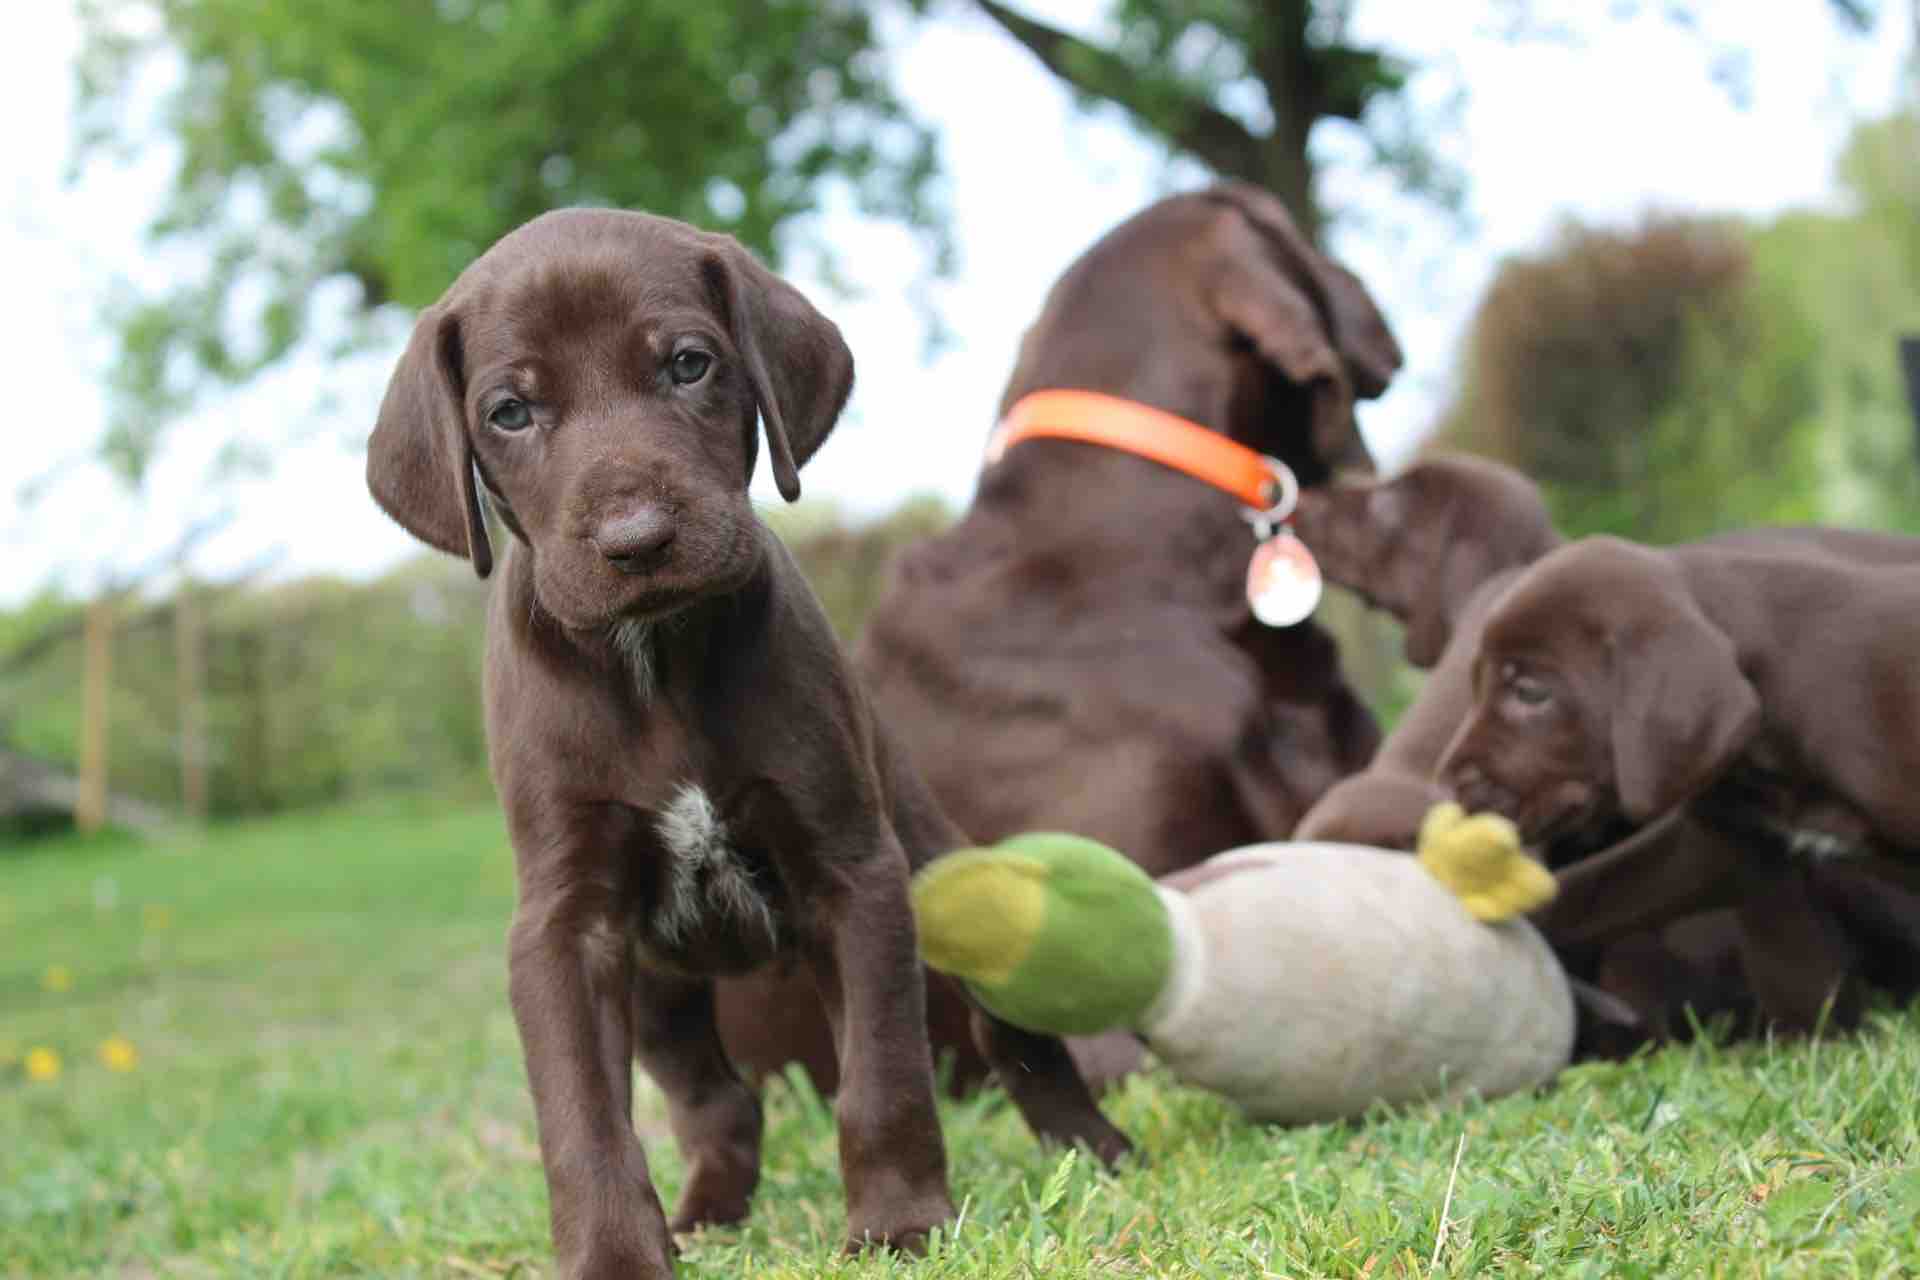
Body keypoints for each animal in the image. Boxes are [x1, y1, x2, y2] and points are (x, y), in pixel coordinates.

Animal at [364, 213, 1121, 1280]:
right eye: (509, 412)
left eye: (689, 364)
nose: (636, 540)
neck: (655, 658)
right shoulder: (563, 923)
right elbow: (584, 1121)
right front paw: (615, 1258)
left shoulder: (853, 872)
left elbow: (883, 1077)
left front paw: (898, 1225)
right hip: (660, 987)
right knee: (720, 1104)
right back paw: (708, 1214)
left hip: (943, 876)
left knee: (1013, 1033)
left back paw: (1096, 1151)